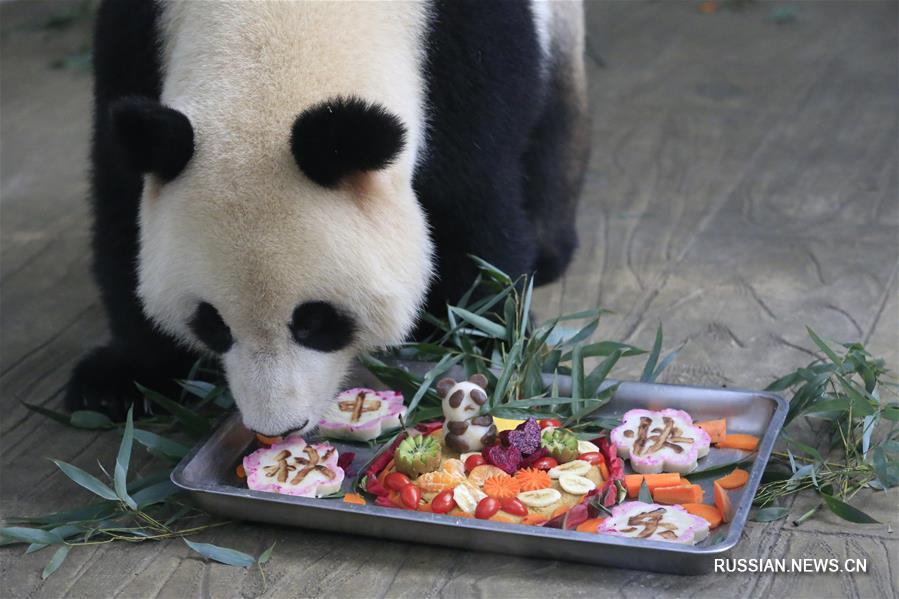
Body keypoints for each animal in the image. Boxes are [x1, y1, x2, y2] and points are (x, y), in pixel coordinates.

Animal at [68, 0, 592, 436]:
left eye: (316, 321)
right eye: (212, 324)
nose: (280, 427)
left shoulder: (468, 45)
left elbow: (473, 195)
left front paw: (482, 337)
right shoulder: (137, 36)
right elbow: (119, 206)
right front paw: (120, 381)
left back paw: (549, 250)